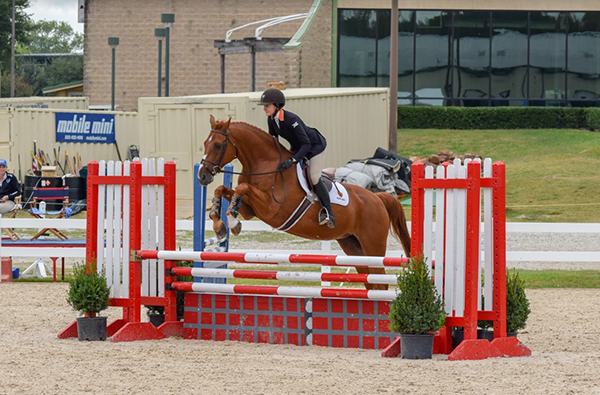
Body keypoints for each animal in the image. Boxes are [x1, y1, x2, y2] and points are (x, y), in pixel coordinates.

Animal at [198, 114, 412, 290]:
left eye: (218, 145)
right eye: (205, 143)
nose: (202, 176)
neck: (264, 164)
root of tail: (377, 198)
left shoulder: (271, 208)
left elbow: (242, 189)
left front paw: (233, 223)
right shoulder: (251, 209)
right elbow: (223, 190)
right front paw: (219, 225)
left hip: (372, 245)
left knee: (380, 282)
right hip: (353, 246)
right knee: (372, 282)